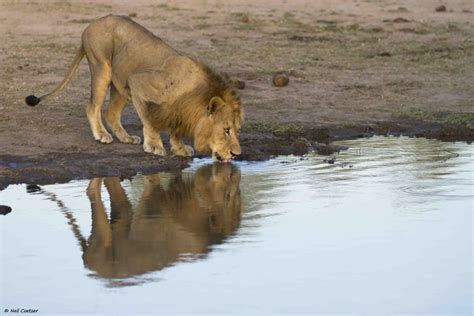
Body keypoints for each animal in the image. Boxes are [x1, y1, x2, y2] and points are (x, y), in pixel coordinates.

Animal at [25, 13, 244, 162]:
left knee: (111, 112)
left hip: (121, 84)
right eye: (226, 130)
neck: (192, 93)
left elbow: (175, 129)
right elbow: (150, 121)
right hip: (102, 68)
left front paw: (179, 148)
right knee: (92, 107)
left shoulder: (176, 109)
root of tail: (92, 23)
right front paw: (154, 146)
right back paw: (102, 135)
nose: (236, 153)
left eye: (236, 130)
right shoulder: (138, 82)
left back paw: (126, 138)